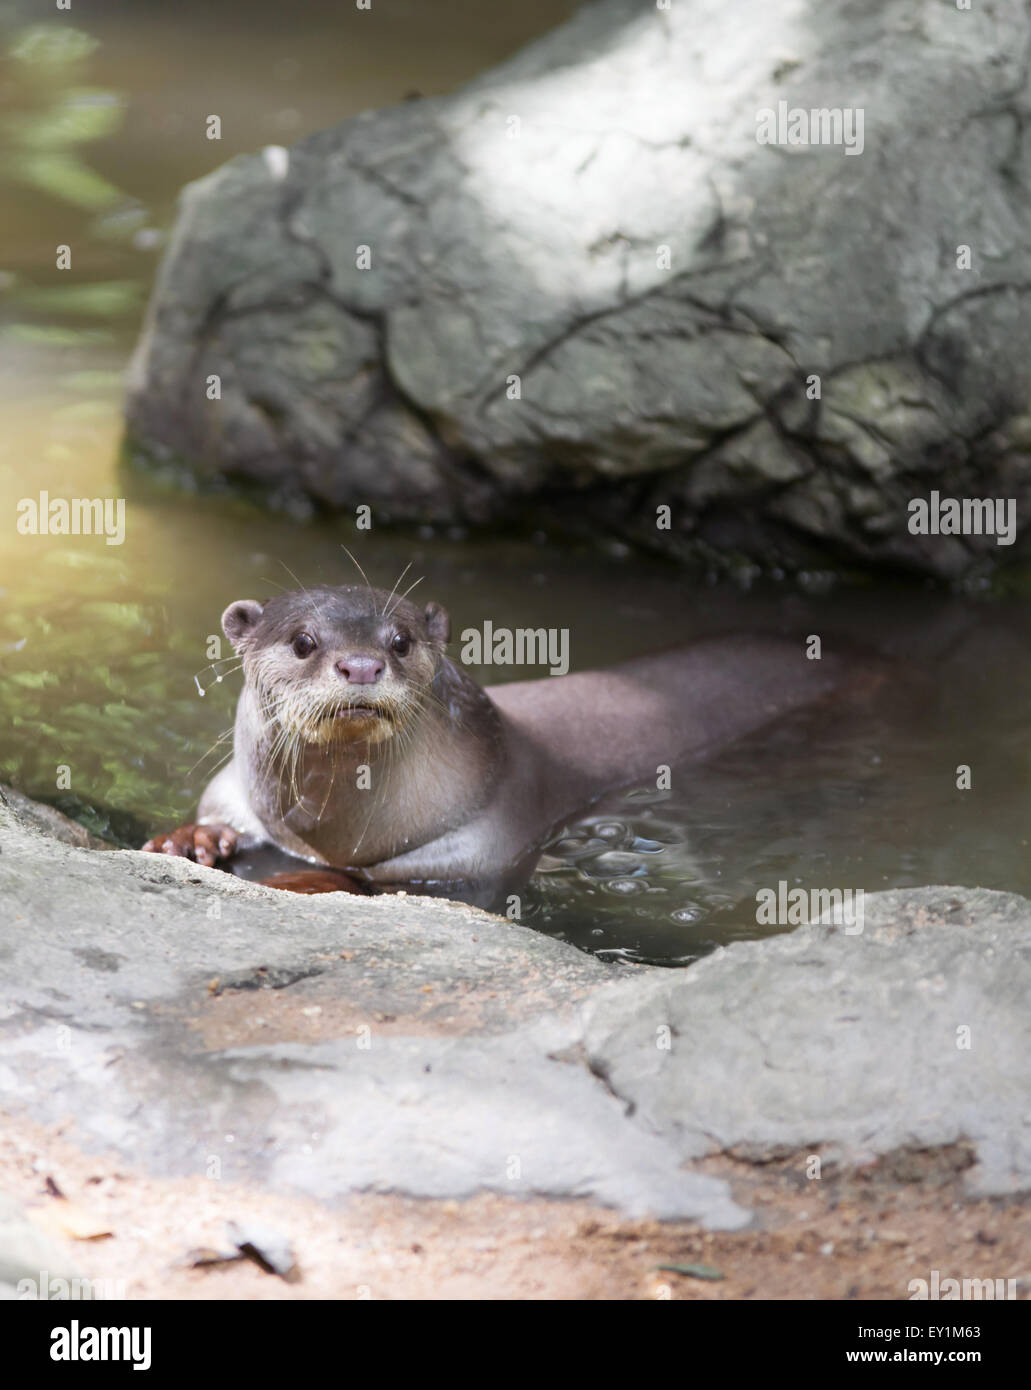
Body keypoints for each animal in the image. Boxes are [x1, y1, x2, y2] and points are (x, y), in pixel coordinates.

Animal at [139, 583, 850, 889]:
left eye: (401, 641)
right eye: (304, 641)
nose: (362, 665)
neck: (327, 831)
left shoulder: (487, 840)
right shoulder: (238, 793)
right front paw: (191, 839)